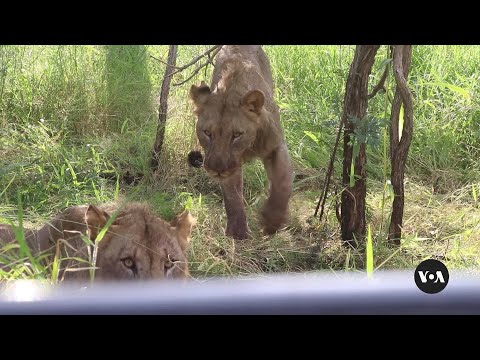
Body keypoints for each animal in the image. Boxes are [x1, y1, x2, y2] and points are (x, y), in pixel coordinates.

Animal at [189, 45, 294, 242]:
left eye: (236, 135)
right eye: (207, 133)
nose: (216, 170)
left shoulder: (276, 145)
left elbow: (283, 182)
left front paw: (271, 221)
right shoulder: (230, 165)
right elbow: (232, 195)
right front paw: (237, 231)